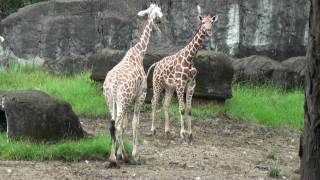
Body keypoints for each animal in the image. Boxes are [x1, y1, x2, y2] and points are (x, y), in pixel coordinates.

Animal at [103, 2, 162, 167]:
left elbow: (124, 126)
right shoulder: (140, 95)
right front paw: (135, 155)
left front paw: (119, 153)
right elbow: (135, 123)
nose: (160, 22)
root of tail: (114, 84)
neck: (139, 54)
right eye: (159, 13)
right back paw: (122, 158)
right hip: (123, 99)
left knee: (113, 124)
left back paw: (113, 157)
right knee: (116, 125)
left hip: (112, 100)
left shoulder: (128, 100)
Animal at [147, 12, 218, 144]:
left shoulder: (191, 85)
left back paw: (167, 132)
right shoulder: (180, 84)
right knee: (154, 101)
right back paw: (153, 130)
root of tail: (157, 64)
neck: (190, 58)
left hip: (169, 87)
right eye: (203, 22)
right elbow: (182, 108)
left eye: (211, 22)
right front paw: (183, 135)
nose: (209, 31)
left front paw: (190, 135)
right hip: (157, 83)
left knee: (165, 103)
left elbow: (189, 109)